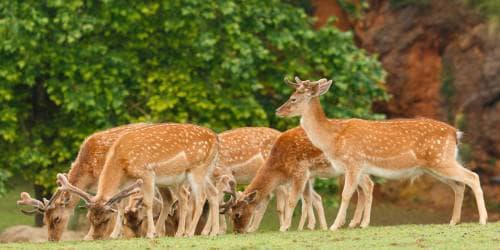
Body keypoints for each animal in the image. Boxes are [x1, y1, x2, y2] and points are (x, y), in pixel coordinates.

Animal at [15, 122, 152, 240]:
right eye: (45, 220)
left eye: (57, 218)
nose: (52, 240)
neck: (89, 174)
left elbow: (116, 206)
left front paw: (103, 235)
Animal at [54, 123, 219, 238]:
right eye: (89, 218)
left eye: (106, 219)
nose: (95, 237)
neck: (121, 160)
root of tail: (215, 137)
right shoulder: (125, 182)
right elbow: (121, 206)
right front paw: (115, 235)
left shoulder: (146, 172)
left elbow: (147, 203)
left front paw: (150, 234)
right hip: (200, 173)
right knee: (209, 193)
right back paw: (204, 232)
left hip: (197, 169)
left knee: (200, 197)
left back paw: (190, 233)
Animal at [224, 126, 376, 233]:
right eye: (230, 213)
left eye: (237, 214)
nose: (237, 231)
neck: (280, 167)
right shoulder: (307, 175)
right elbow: (307, 199)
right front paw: (310, 226)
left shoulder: (300, 171)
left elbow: (292, 200)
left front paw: (285, 227)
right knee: (361, 189)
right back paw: (353, 223)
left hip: (354, 164)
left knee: (368, 185)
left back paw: (363, 223)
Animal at [276, 76, 486, 230]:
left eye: (293, 98)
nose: (278, 111)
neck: (333, 138)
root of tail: (455, 133)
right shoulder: (359, 167)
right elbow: (362, 191)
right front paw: (358, 223)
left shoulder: (354, 161)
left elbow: (346, 194)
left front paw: (336, 225)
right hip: (434, 165)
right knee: (459, 185)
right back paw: (453, 221)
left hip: (441, 159)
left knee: (473, 177)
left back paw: (482, 219)